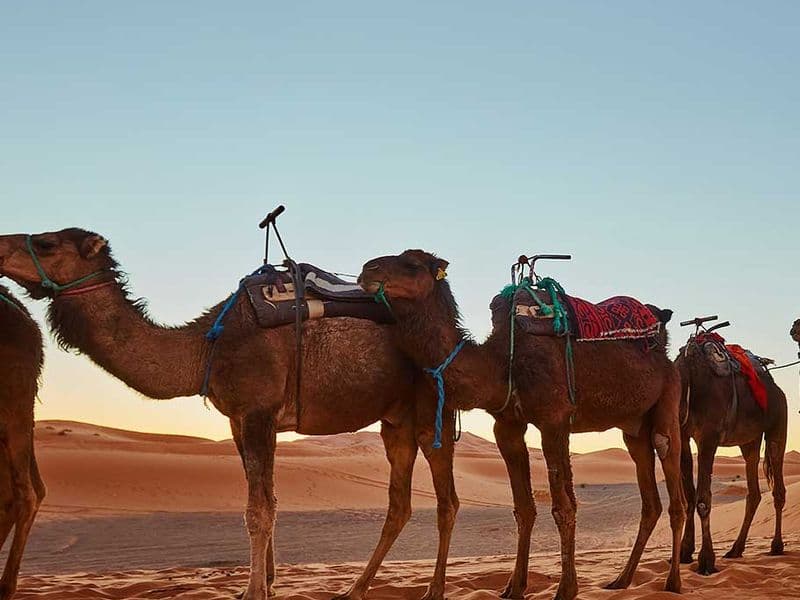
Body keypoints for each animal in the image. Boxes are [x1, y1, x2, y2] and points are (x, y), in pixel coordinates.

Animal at [0, 229, 459, 600]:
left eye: (47, 242)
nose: (1, 246)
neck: (206, 347)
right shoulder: (239, 419)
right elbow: (266, 499)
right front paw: (267, 582)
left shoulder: (258, 409)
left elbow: (257, 510)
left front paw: (253, 590)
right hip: (395, 421)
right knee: (399, 505)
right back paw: (356, 588)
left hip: (431, 410)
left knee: (446, 501)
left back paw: (433, 590)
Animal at [359, 249, 686, 600]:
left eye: (413, 265)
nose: (367, 270)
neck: (502, 363)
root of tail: (665, 349)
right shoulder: (507, 425)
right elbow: (523, 508)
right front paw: (514, 587)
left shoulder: (554, 418)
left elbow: (563, 507)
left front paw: (566, 589)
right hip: (634, 427)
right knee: (650, 500)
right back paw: (621, 580)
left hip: (668, 398)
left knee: (672, 477)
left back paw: (673, 582)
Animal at [676, 321, 787, 575]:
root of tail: (775, 388)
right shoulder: (683, 435)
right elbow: (690, 495)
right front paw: (686, 552)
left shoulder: (708, 437)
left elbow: (703, 499)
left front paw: (706, 560)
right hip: (750, 441)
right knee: (754, 491)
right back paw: (736, 549)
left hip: (778, 426)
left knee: (778, 487)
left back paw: (776, 545)